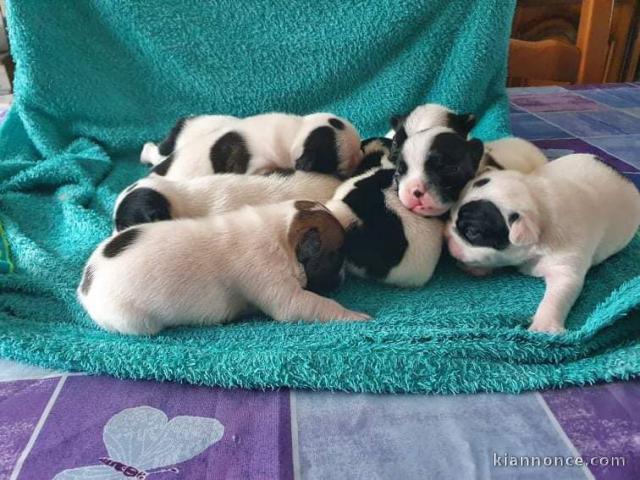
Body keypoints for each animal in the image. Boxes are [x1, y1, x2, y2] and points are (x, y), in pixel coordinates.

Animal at [80, 199, 370, 334]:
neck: (283, 234)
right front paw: (354, 315)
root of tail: (84, 286)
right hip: (133, 320)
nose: (343, 276)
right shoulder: (279, 288)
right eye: (337, 255)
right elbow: (314, 304)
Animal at [444, 155, 640, 334]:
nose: (446, 235)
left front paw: (545, 326)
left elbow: (556, 298)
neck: (539, 203)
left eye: (472, 232)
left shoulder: (566, 268)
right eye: (450, 214)